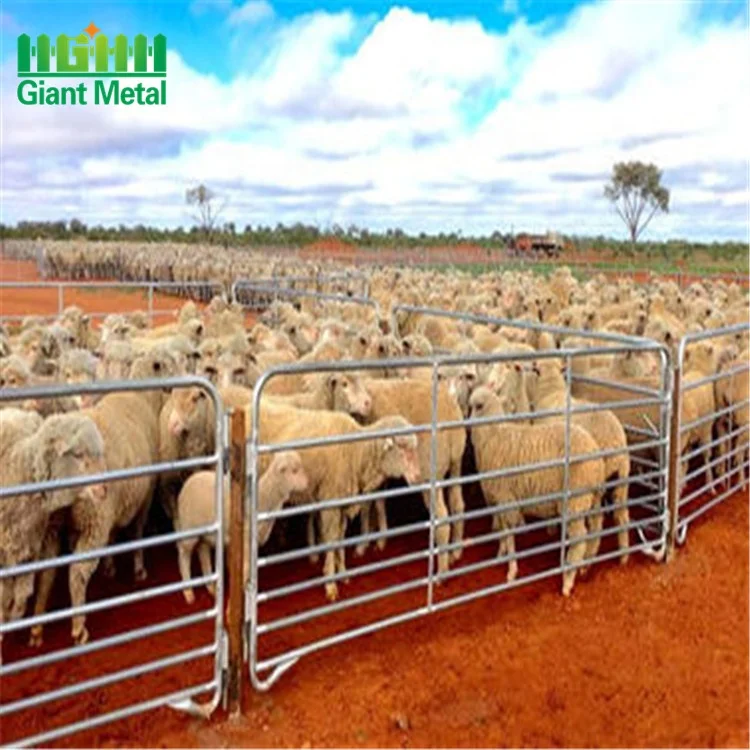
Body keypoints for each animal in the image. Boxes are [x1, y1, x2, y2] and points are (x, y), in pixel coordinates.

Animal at [174, 451, 309, 603]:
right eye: (294, 470)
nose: (307, 482)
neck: (264, 497)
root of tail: (188, 482)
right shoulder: (245, 539)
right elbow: (245, 567)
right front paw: (245, 589)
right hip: (189, 527)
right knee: (183, 555)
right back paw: (188, 591)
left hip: (207, 532)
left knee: (203, 551)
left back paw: (211, 587)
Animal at [468, 386, 606, 595]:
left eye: (477, 406)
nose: (466, 423)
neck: (494, 435)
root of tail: (596, 458)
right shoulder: (499, 500)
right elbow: (502, 531)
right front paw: (501, 554)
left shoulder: (506, 498)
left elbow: (509, 533)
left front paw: (511, 570)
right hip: (591, 498)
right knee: (596, 528)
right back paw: (586, 563)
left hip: (575, 500)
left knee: (579, 538)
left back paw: (568, 579)